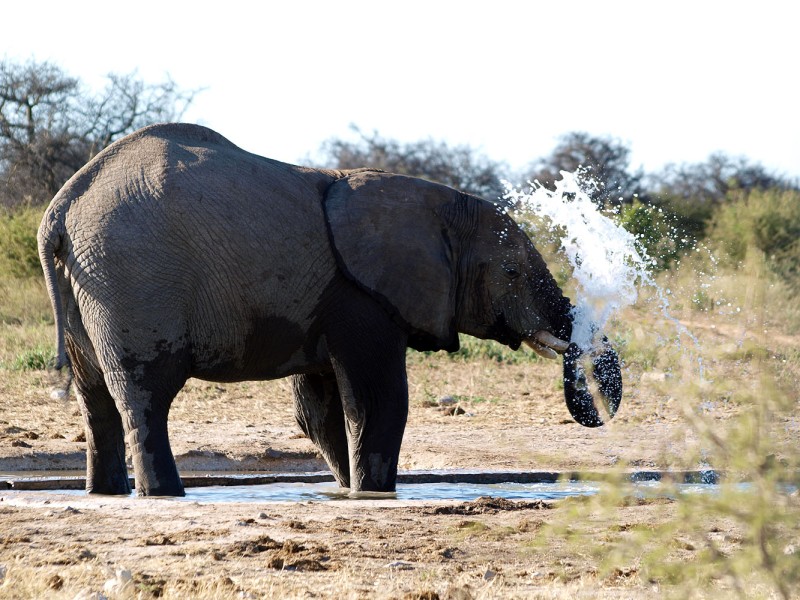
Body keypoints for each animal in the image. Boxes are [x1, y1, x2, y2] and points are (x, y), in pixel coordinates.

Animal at [38, 123, 622, 497]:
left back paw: (106, 495)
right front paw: (372, 494)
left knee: (96, 401)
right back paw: (165, 496)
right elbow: (378, 400)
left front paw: (348, 491)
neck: (436, 204)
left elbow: (319, 409)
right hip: (132, 281)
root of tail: (61, 209)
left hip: (91, 287)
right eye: (513, 274)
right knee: (144, 397)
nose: (594, 410)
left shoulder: (326, 301)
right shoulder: (361, 298)